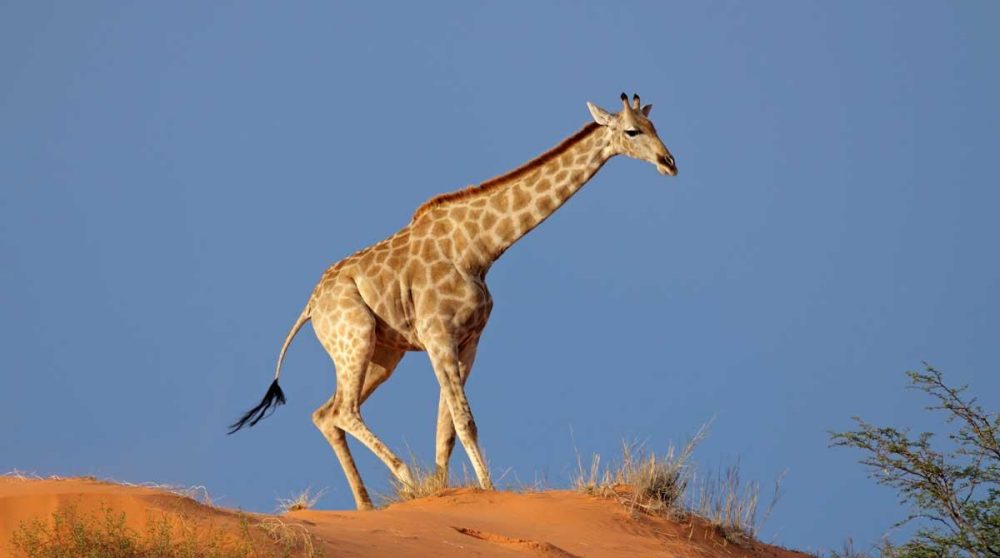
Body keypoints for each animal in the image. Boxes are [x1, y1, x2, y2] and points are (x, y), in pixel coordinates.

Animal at [229, 93, 678, 510]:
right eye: (631, 131)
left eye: (654, 125)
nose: (669, 162)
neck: (479, 248)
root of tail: (310, 307)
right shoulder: (437, 335)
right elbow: (465, 420)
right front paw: (485, 491)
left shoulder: (469, 340)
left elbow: (446, 427)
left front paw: (444, 492)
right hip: (354, 337)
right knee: (343, 410)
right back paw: (404, 479)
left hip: (382, 353)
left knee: (325, 413)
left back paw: (366, 505)